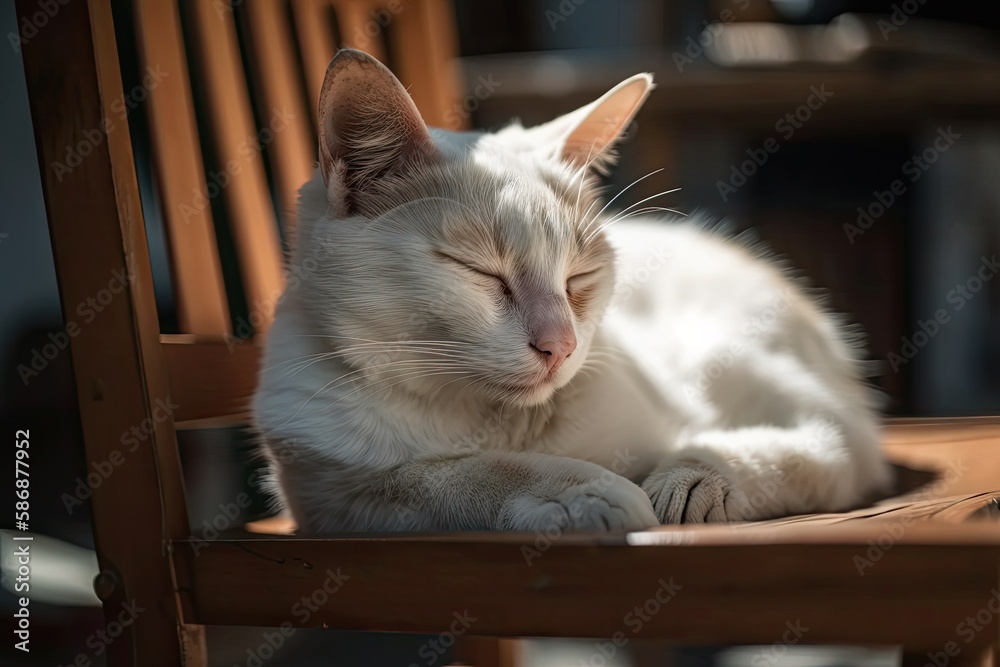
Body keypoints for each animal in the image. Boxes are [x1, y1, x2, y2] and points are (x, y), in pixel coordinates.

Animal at [254, 49, 896, 536]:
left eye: (577, 278)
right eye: (480, 272)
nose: (559, 344)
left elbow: (804, 452)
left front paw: (673, 480)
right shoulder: (332, 496)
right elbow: (451, 475)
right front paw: (583, 491)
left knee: (830, 443)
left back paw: (696, 479)